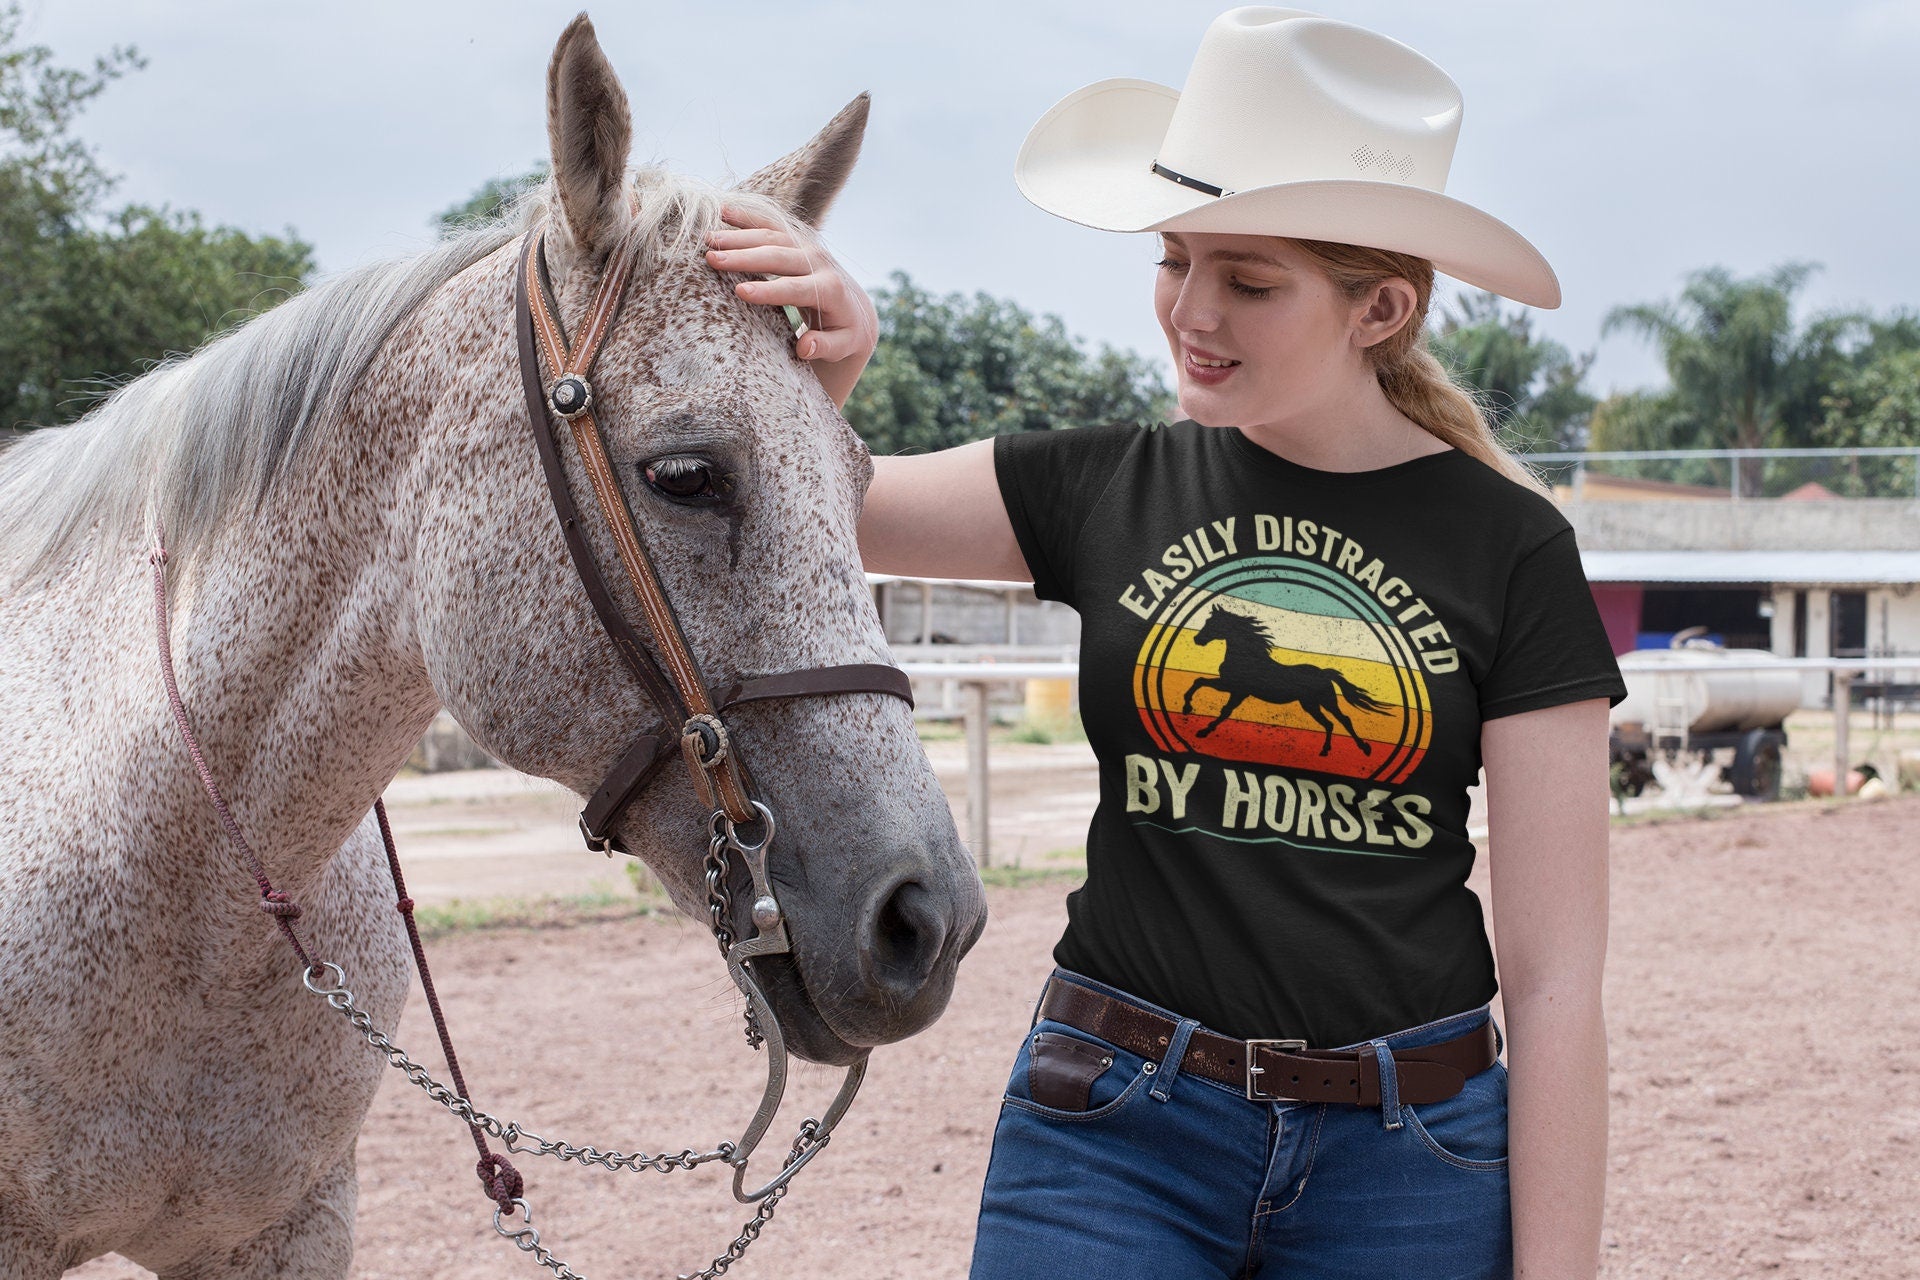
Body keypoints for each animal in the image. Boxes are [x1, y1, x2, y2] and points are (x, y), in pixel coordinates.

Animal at [1181, 605, 1393, 755]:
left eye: (1213, 623)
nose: (1197, 639)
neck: (1246, 657)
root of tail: (1324, 672)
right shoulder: (1229, 685)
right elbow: (1199, 681)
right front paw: (1187, 708)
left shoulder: (1238, 690)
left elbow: (1224, 709)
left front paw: (1202, 730)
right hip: (1311, 704)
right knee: (1329, 724)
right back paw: (1325, 751)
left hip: (1325, 701)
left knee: (1344, 720)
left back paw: (1364, 748)